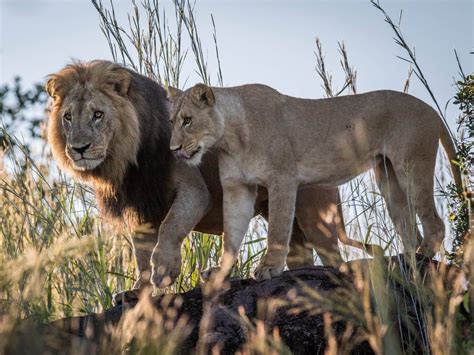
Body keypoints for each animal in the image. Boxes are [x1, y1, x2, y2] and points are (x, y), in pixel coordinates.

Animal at [45, 60, 362, 298]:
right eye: (68, 117)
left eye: (98, 115)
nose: (79, 149)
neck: (127, 159)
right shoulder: (140, 203)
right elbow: (140, 251)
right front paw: (139, 289)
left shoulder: (193, 189)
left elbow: (171, 226)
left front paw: (165, 270)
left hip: (314, 213)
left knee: (334, 258)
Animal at [168, 82, 462, 280]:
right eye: (171, 121)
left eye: (188, 120)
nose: (173, 149)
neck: (230, 137)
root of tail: (431, 110)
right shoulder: (237, 187)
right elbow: (231, 233)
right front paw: (221, 271)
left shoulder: (283, 178)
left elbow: (278, 229)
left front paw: (269, 268)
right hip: (388, 177)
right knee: (408, 225)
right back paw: (406, 259)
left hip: (411, 165)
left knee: (435, 223)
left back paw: (423, 255)